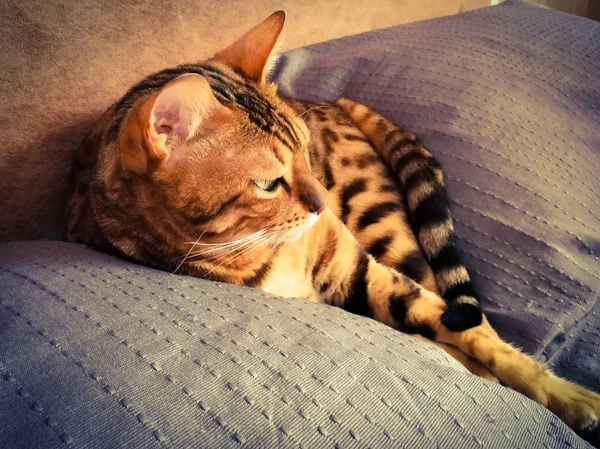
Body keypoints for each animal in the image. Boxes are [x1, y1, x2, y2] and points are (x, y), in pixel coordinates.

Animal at [67, 9, 600, 434]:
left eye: (306, 152)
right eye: (268, 183)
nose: (323, 203)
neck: (259, 250)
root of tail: (336, 102)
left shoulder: (357, 268)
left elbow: (474, 333)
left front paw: (567, 396)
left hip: (380, 222)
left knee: (451, 299)